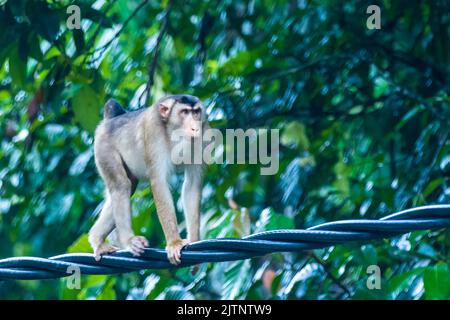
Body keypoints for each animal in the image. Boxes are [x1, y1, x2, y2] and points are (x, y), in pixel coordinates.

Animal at [89, 95, 208, 264]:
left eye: (196, 112)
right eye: (184, 112)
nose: (195, 128)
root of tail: (113, 118)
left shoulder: (202, 134)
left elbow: (192, 184)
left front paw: (194, 241)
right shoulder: (153, 131)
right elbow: (159, 183)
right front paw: (174, 242)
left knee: (129, 186)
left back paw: (97, 239)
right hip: (103, 148)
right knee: (121, 186)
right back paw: (128, 240)